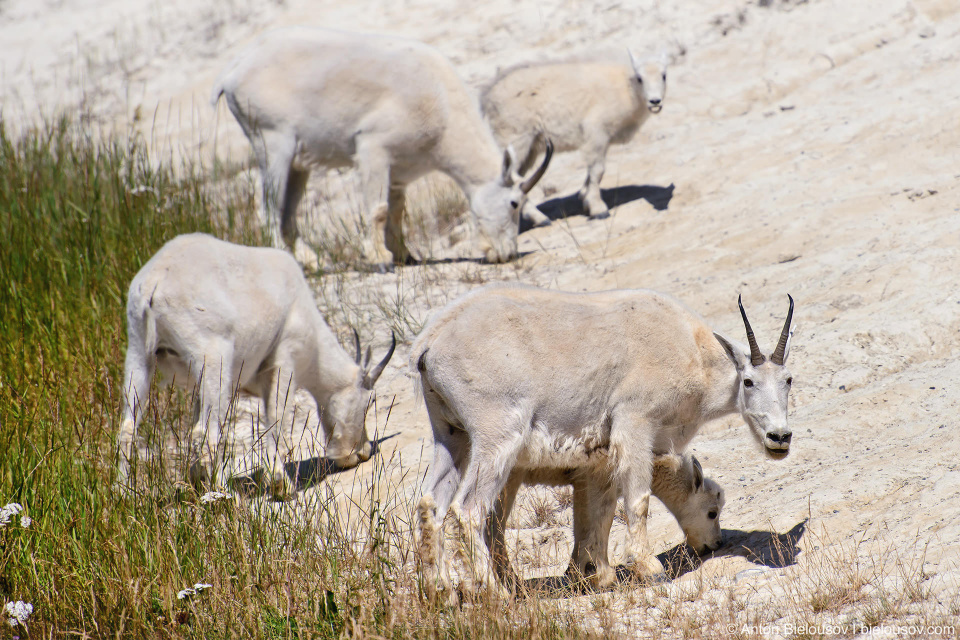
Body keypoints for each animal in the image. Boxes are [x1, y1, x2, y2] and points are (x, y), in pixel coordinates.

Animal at [118, 232, 396, 498]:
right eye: (371, 400)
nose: (362, 451)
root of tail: (153, 283)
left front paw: (197, 482)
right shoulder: (284, 362)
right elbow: (275, 420)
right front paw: (282, 487)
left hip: (139, 355)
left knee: (128, 428)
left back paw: (126, 493)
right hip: (214, 361)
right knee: (206, 433)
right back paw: (224, 494)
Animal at [213, 27, 552, 266]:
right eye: (514, 203)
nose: (506, 254)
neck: (442, 106)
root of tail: (233, 71)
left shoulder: (399, 170)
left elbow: (398, 211)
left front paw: (405, 255)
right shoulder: (373, 149)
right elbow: (377, 209)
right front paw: (380, 258)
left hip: (298, 160)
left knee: (288, 210)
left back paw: (313, 261)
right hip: (273, 143)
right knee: (268, 208)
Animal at [476, 450, 724, 592]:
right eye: (712, 513)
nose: (716, 544)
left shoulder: (582, 480)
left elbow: (583, 524)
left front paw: (578, 573)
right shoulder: (598, 477)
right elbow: (599, 521)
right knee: (491, 526)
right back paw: (507, 583)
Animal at [480, 50, 668, 225]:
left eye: (664, 75)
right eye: (640, 78)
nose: (655, 102)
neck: (627, 89)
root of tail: (487, 98)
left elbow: (591, 174)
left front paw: (584, 199)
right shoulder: (596, 133)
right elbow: (598, 171)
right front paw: (598, 209)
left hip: (529, 150)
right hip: (515, 141)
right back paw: (540, 218)